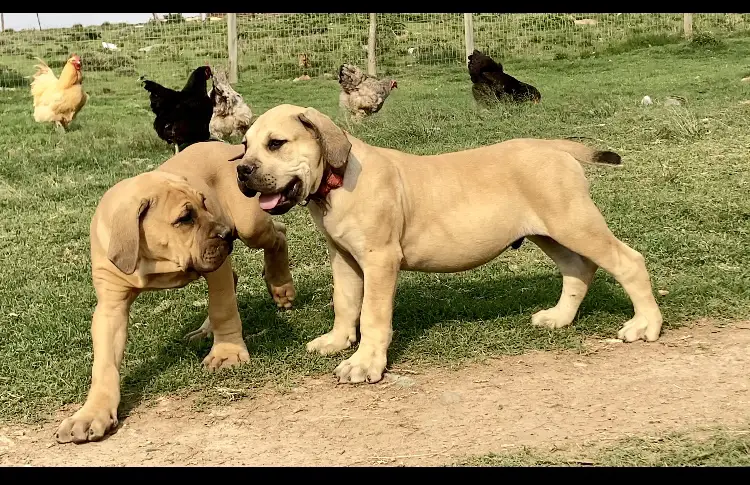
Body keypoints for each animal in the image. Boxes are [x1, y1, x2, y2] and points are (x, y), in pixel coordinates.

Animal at [55, 140, 296, 442]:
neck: (153, 260)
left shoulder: (216, 265)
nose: (226, 233)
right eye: (184, 218)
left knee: (279, 233)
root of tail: (226, 145)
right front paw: (90, 414)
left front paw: (227, 354)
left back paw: (281, 286)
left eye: (205, 204)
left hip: (249, 224)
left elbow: (223, 308)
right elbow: (104, 363)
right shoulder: (111, 306)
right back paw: (204, 330)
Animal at [231, 105, 664, 386]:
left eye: (276, 144)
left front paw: (366, 363)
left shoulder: (379, 259)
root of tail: (555, 147)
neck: (336, 181)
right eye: (244, 146)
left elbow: (372, 315)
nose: (242, 171)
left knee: (628, 261)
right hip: (551, 231)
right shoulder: (344, 258)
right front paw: (338, 342)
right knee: (578, 268)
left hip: (574, 222)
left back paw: (645, 324)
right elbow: (346, 303)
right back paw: (560, 317)